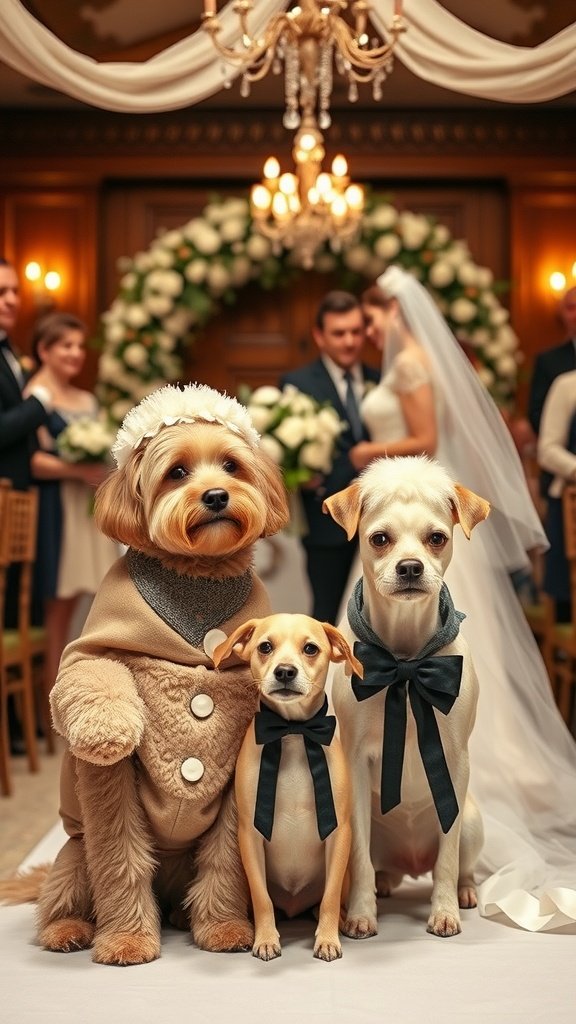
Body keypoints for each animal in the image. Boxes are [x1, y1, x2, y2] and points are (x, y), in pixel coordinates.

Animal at [212, 614, 362, 958]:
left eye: (310, 648)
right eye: (265, 647)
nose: (284, 671)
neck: (293, 733)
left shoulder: (339, 833)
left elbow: (330, 898)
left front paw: (327, 938)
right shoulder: (250, 835)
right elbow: (262, 898)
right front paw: (266, 938)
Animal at [323, 458, 487, 942]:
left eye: (437, 538)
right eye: (380, 539)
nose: (411, 567)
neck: (406, 660)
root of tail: (410, 862)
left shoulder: (455, 761)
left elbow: (448, 859)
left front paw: (445, 911)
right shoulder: (356, 762)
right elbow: (358, 859)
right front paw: (361, 914)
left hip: (472, 822)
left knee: (457, 862)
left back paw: (465, 891)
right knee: (378, 867)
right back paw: (382, 884)